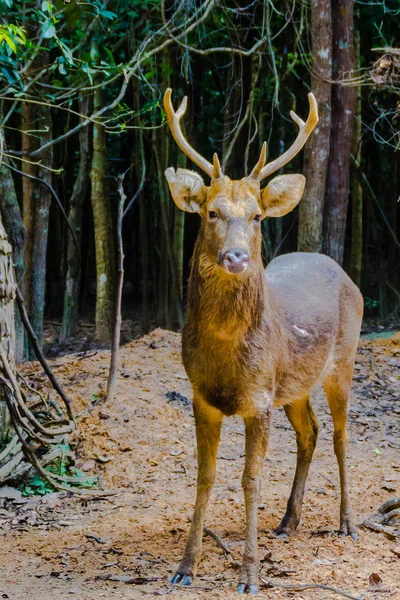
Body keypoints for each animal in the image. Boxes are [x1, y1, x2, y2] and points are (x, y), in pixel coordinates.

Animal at [162, 89, 362, 596]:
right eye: (210, 211)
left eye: (255, 216)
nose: (235, 256)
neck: (227, 360)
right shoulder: (202, 397)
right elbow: (205, 476)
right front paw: (185, 567)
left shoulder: (259, 399)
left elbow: (250, 480)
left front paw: (250, 574)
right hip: (293, 386)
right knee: (310, 432)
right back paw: (288, 522)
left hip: (344, 360)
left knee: (340, 435)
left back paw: (347, 523)